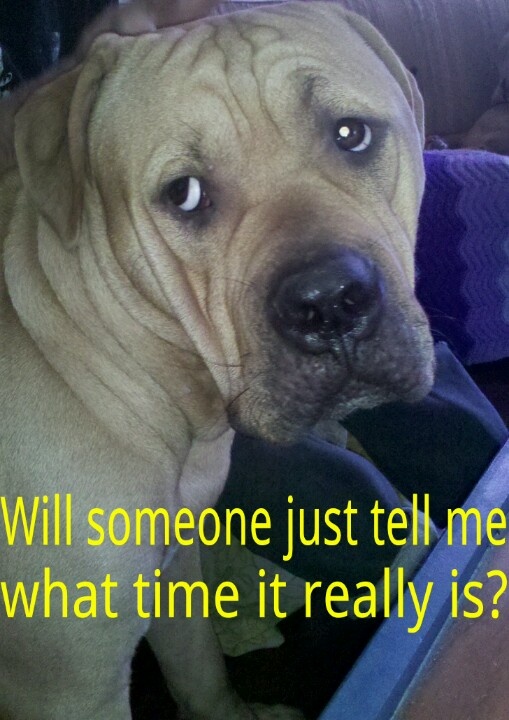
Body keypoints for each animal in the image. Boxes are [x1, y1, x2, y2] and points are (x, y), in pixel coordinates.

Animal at [0, 2, 434, 718]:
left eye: (351, 134)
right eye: (184, 193)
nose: (330, 305)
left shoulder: (173, 568)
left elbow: (201, 671)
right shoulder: (68, 688)